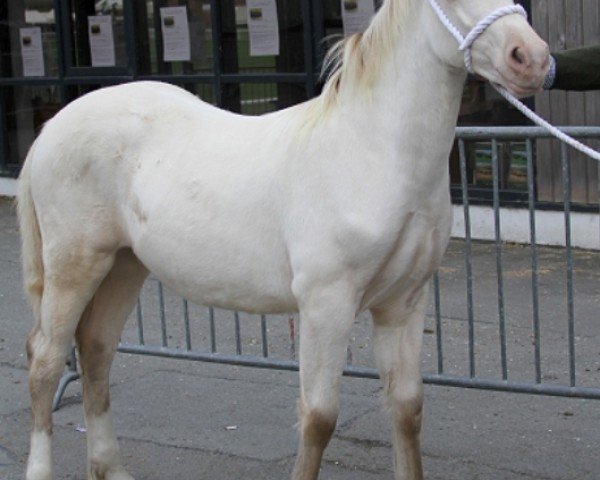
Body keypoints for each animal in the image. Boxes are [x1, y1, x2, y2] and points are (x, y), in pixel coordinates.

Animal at [17, 0, 548, 480]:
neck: (370, 152)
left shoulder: (403, 304)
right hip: (75, 266)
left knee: (95, 349)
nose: (532, 58)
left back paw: (110, 467)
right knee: (45, 360)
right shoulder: (325, 305)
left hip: (125, 264)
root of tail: (48, 129)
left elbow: (407, 409)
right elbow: (319, 418)